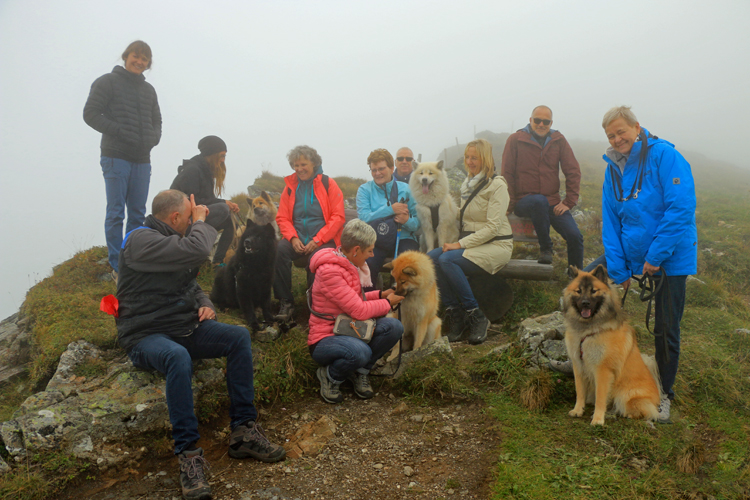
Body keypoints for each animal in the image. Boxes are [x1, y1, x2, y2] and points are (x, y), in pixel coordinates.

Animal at [564, 266, 664, 426]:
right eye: (578, 291)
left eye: (594, 291)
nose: (585, 303)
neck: (588, 330)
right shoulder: (578, 365)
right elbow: (580, 391)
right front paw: (578, 410)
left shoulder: (603, 370)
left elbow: (600, 397)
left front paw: (598, 419)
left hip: (627, 395)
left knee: (646, 411)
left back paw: (626, 413)